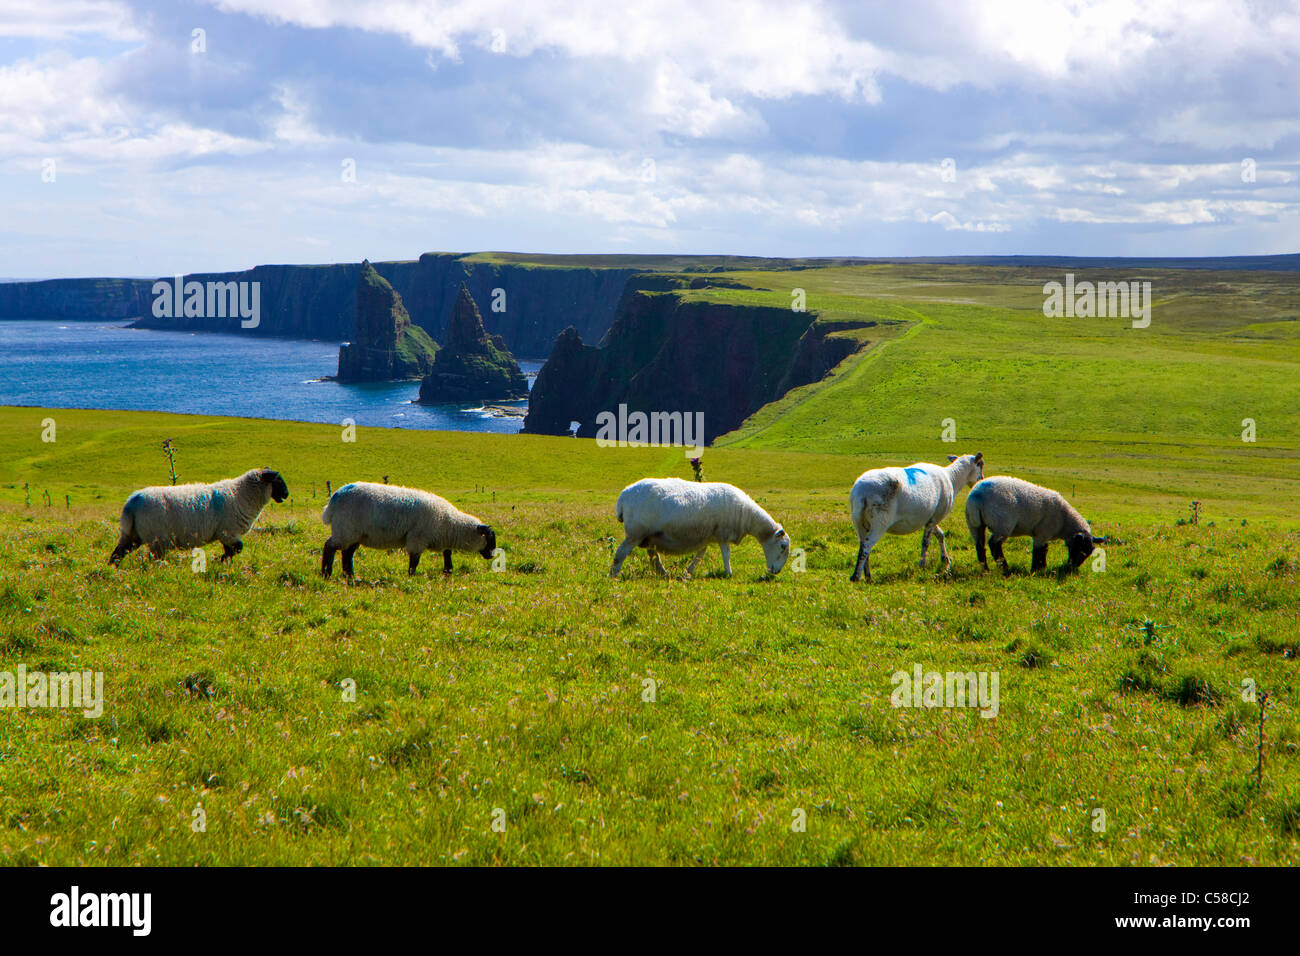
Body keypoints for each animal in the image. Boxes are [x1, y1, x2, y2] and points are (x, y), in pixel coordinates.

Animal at [107, 468, 288, 564]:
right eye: (278, 481)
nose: (287, 494)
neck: (241, 493)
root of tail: (132, 501)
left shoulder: (225, 534)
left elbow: (232, 551)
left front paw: (223, 563)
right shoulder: (228, 532)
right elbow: (236, 549)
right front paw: (221, 561)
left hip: (133, 534)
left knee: (118, 552)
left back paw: (113, 569)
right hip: (157, 538)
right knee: (152, 559)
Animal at [317, 481, 493, 580]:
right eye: (490, 538)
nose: (491, 556)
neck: (451, 524)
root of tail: (335, 496)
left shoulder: (440, 539)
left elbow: (447, 554)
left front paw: (447, 571)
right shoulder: (417, 538)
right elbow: (415, 560)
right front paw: (411, 576)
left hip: (353, 534)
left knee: (347, 553)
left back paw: (350, 576)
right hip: (345, 529)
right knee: (329, 547)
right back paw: (326, 574)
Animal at [608, 476, 790, 580]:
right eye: (782, 546)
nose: (776, 572)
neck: (747, 515)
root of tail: (623, 495)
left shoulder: (709, 534)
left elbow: (701, 554)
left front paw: (689, 572)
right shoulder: (723, 533)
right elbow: (726, 555)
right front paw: (729, 573)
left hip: (648, 535)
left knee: (653, 557)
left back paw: (664, 574)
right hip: (636, 532)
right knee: (620, 553)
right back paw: (613, 576)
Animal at [847, 455, 977, 582]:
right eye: (980, 464)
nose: (980, 479)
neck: (952, 478)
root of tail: (862, 493)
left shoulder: (930, 517)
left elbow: (940, 534)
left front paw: (945, 560)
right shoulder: (935, 517)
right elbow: (926, 542)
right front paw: (922, 565)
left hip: (858, 520)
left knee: (863, 543)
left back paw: (866, 576)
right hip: (880, 521)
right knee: (867, 545)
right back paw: (858, 577)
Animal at [967, 476, 1107, 572]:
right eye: (1081, 550)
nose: (1072, 568)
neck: (1065, 521)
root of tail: (977, 496)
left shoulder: (1041, 534)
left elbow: (1043, 550)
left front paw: (1041, 568)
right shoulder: (1043, 532)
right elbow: (1040, 551)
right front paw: (1036, 570)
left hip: (975, 525)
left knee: (980, 546)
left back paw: (985, 569)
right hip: (1002, 524)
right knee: (994, 545)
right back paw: (1005, 569)